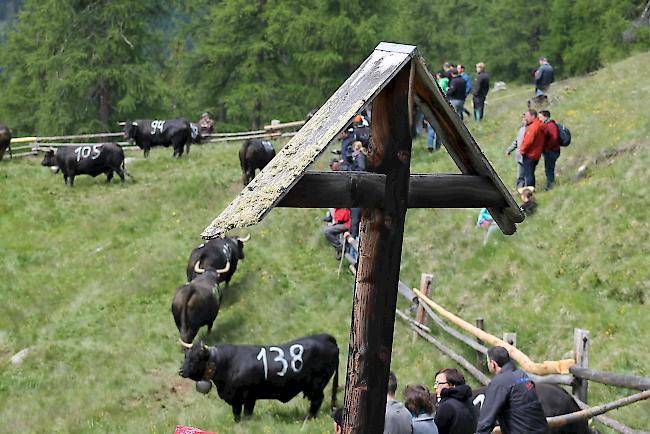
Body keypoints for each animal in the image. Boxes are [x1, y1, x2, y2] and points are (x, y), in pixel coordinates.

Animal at [178, 334, 340, 422]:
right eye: (186, 356)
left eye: (195, 358)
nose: (181, 371)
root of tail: (326, 337)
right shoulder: (241, 398)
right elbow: (239, 414)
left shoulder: (246, 396)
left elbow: (243, 413)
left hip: (317, 383)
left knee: (317, 400)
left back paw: (308, 418)